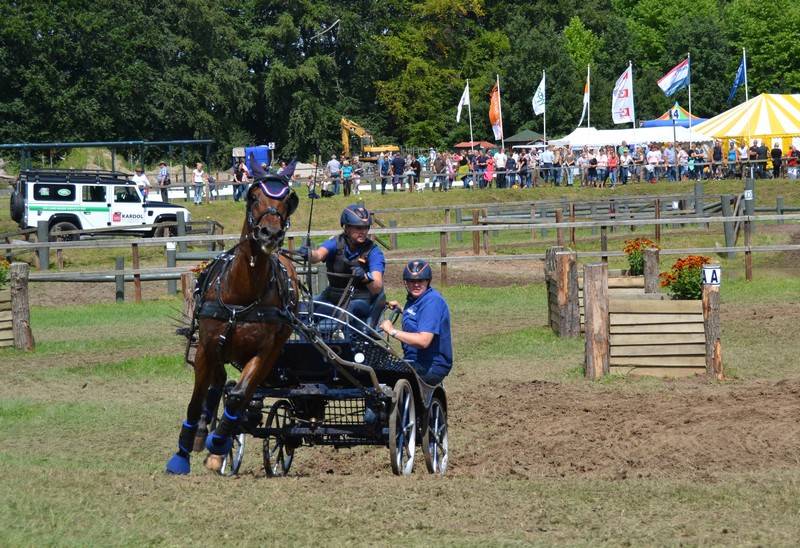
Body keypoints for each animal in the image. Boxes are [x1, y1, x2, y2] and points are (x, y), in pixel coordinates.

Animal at [166, 173, 300, 474]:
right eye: (253, 196)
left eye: (288, 200)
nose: (271, 234)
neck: (241, 294)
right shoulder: (207, 347)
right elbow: (197, 400)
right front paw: (182, 453)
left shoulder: (265, 352)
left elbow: (239, 394)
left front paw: (219, 445)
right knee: (217, 383)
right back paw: (203, 430)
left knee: (241, 391)